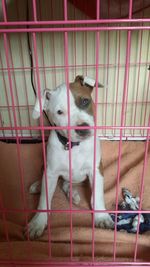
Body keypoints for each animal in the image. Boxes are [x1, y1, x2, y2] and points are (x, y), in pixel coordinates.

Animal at [26, 76, 113, 241]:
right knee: (53, 180)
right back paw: (38, 186)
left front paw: (101, 217)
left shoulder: (96, 169)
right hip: (45, 165)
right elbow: (44, 200)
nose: (82, 128)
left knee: (67, 184)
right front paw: (37, 222)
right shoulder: (51, 172)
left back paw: (73, 194)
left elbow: (97, 195)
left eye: (85, 101)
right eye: (59, 112)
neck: (73, 146)